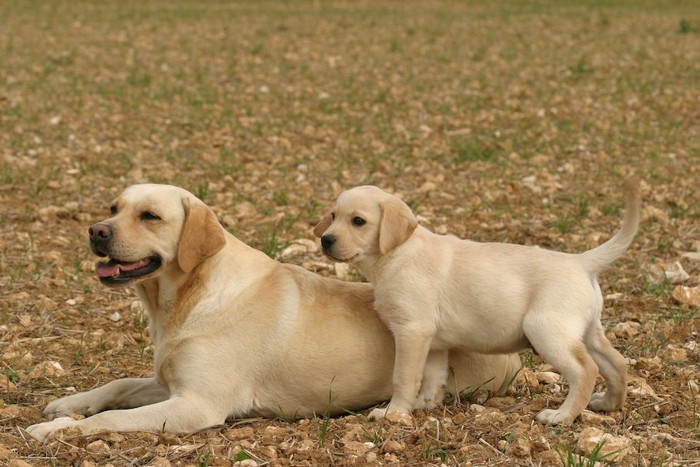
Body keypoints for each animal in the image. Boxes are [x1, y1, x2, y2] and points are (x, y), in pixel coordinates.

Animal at [26, 184, 520, 442]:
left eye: (150, 216)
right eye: (113, 208)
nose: (96, 231)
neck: (183, 299)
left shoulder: (196, 403)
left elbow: (109, 420)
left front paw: (54, 430)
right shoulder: (171, 385)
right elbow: (118, 385)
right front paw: (68, 404)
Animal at [314, 181, 644, 426]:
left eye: (358, 221)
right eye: (333, 216)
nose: (325, 240)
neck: (397, 252)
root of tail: (580, 261)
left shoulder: (412, 331)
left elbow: (404, 377)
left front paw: (394, 412)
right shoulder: (434, 342)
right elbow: (433, 378)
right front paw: (425, 405)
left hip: (547, 331)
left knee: (585, 370)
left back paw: (561, 416)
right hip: (586, 331)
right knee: (616, 362)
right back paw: (608, 404)